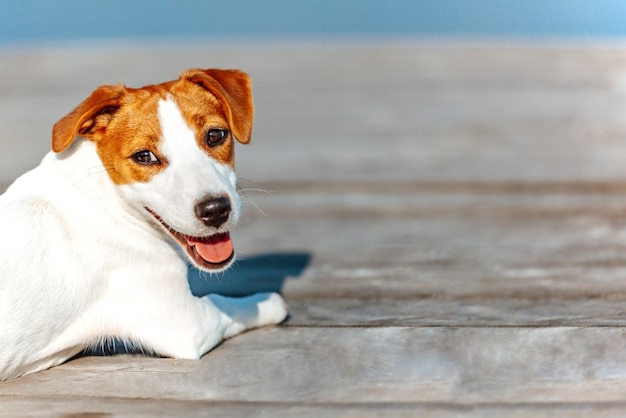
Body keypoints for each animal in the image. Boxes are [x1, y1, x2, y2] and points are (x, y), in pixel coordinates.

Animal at [0, 69, 286, 382]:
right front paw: (270, 302)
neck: (104, 195)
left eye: (215, 135)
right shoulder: (187, 322)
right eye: (144, 156)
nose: (215, 210)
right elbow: (224, 301)